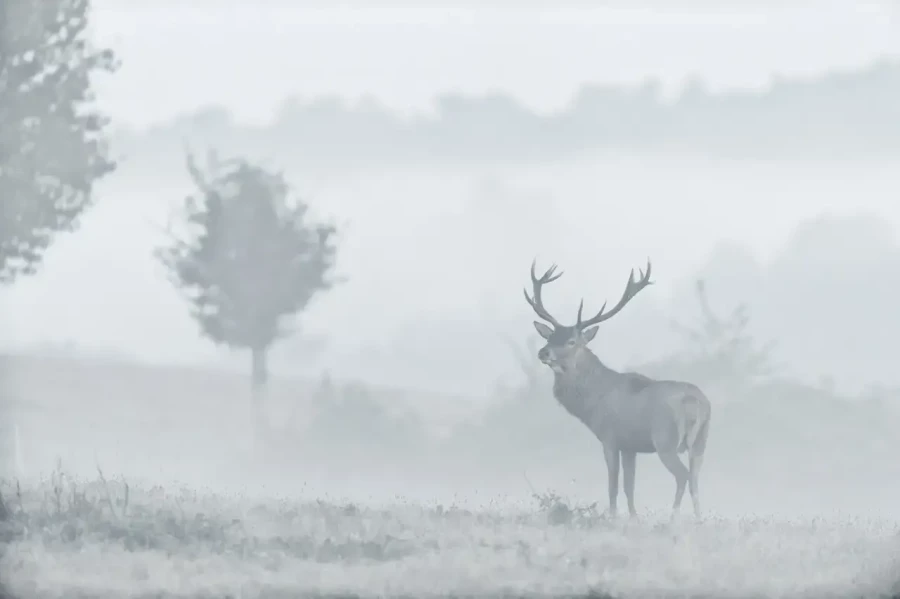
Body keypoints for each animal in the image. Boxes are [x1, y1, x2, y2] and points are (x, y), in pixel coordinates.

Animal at [523, 259, 712, 520]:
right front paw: (633, 517)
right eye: (550, 336)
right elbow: (629, 485)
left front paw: (613, 516)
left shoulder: (610, 437)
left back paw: (673, 517)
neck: (593, 400)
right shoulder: (630, 446)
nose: (543, 352)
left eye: (572, 341)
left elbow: (613, 484)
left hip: (666, 439)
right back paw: (698, 517)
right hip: (702, 440)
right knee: (694, 478)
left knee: (682, 476)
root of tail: (696, 403)